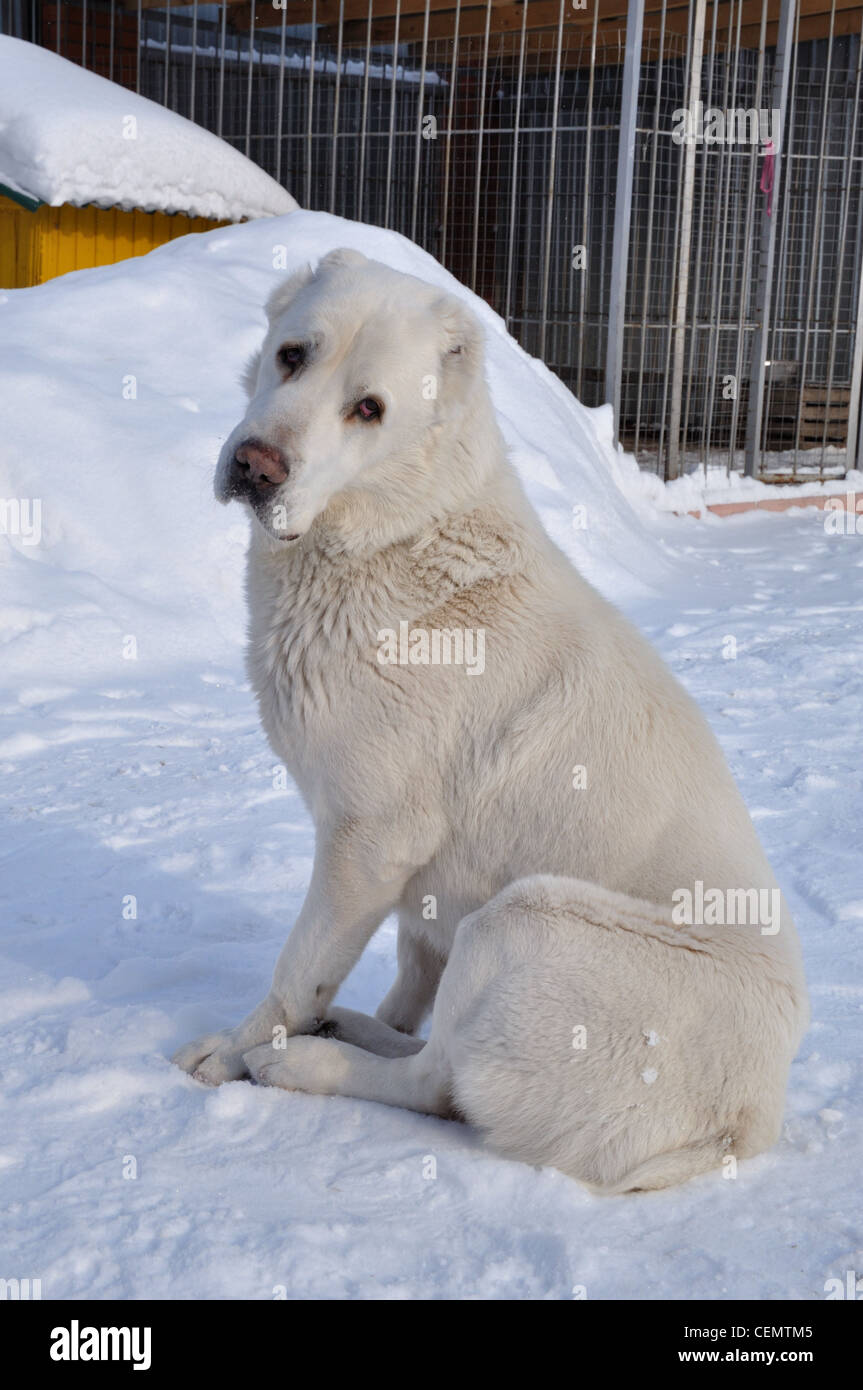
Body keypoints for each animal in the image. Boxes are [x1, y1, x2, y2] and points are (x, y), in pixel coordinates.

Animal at [175, 250, 806, 1195]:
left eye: (369, 409)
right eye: (291, 355)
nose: (256, 465)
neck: (395, 534)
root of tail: (747, 1120)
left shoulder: (367, 843)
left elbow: (298, 973)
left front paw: (234, 1052)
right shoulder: (419, 888)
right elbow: (408, 977)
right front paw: (349, 1016)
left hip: (525, 916)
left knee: (438, 1083)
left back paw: (306, 1062)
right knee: (436, 1047)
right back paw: (354, 1031)